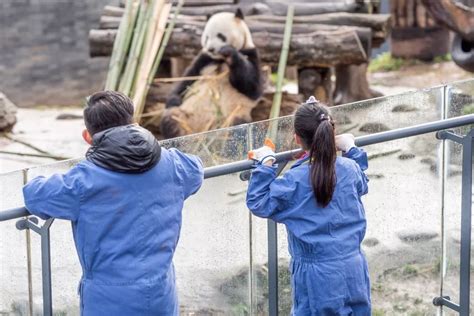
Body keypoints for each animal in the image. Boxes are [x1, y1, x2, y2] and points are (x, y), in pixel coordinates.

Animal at [161, 9, 262, 138]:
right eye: (207, 37)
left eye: (220, 36)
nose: (211, 49)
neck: (221, 59)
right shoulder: (204, 60)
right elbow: (188, 79)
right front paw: (173, 100)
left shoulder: (251, 53)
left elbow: (252, 87)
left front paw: (229, 52)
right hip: (184, 117)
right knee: (171, 117)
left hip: (233, 116)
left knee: (237, 125)